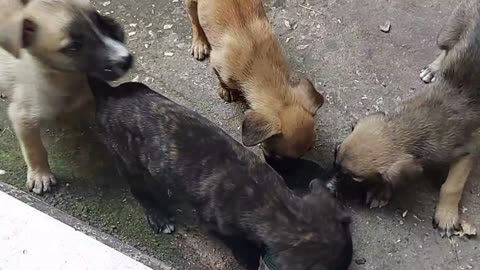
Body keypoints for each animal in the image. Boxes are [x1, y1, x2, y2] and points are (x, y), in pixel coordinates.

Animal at [0, 0, 132, 194]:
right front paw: (40, 174)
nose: (126, 59)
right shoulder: (23, 116)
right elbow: (34, 149)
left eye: (98, 21)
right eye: (74, 47)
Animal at [89, 77, 352, 270]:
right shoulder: (216, 225)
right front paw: (249, 259)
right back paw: (159, 216)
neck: (271, 201)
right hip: (127, 160)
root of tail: (110, 95)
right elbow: (240, 247)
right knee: (139, 190)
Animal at [186, 0, 324, 159]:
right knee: (194, 20)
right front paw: (226, 90)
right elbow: (223, 81)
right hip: (191, 4)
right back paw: (199, 42)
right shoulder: (217, 64)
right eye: (275, 154)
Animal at [336, 0, 480, 237]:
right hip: (449, 31)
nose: (332, 184)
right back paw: (433, 68)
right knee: (446, 49)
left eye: (356, 178)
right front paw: (382, 191)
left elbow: (452, 186)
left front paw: (447, 215)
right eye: (335, 151)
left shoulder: (468, 150)